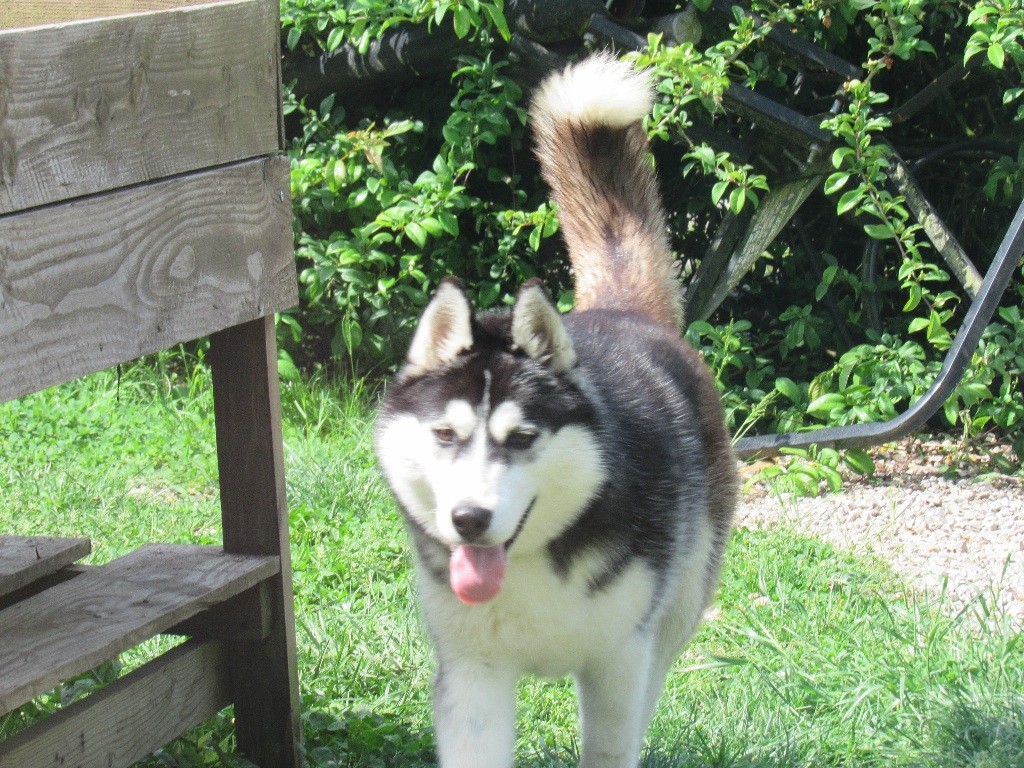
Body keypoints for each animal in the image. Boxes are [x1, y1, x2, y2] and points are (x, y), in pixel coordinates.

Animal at [374, 54, 737, 768]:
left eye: (523, 438)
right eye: (444, 434)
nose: (468, 519)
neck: (533, 563)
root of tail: (622, 313)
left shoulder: (619, 662)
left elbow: (614, 740)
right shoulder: (472, 673)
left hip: (678, 608)